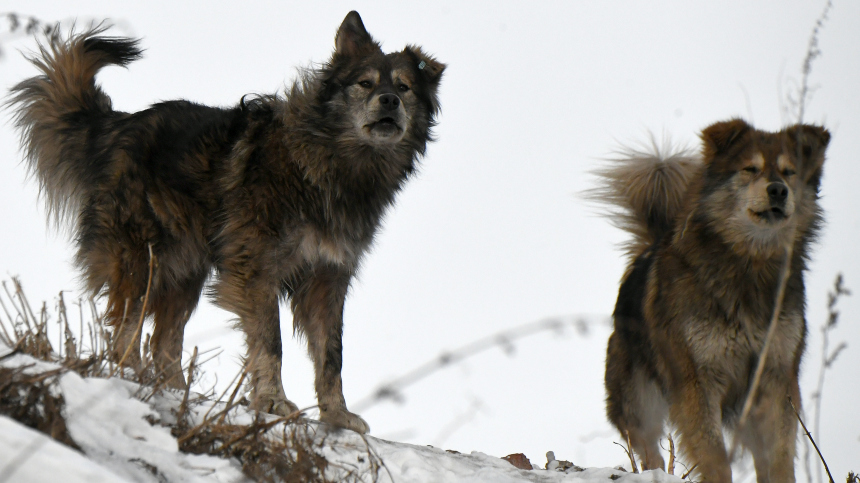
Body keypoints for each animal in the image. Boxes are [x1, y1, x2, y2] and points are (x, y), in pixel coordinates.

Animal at [8, 12, 444, 434]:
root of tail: (121, 124)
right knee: (127, 327)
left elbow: (331, 356)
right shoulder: (256, 271)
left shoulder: (327, 279)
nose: (389, 100)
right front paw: (272, 402)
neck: (330, 163)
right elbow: (270, 344)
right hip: (141, 258)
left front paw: (337, 415)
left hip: (185, 272)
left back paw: (176, 392)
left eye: (404, 87)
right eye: (365, 83)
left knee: (164, 343)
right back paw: (133, 373)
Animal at [596, 119, 828, 482]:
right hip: (638, 401)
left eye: (789, 172)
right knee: (648, 449)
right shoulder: (697, 380)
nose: (778, 190)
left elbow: (778, 456)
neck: (748, 264)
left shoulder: (776, 378)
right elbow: (714, 455)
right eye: (750, 169)